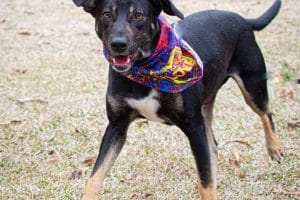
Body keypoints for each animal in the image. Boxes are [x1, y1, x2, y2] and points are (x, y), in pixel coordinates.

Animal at [72, 0, 284, 198]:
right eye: (107, 14)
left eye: (139, 15)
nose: (118, 44)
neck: (146, 67)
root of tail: (242, 19)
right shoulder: (117, 125)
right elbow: (95, 177)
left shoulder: (194, 127)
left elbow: (205, 181)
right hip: (206, 105)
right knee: (213, 147)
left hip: (252, 84)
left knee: (265, 112)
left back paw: (274, 147)